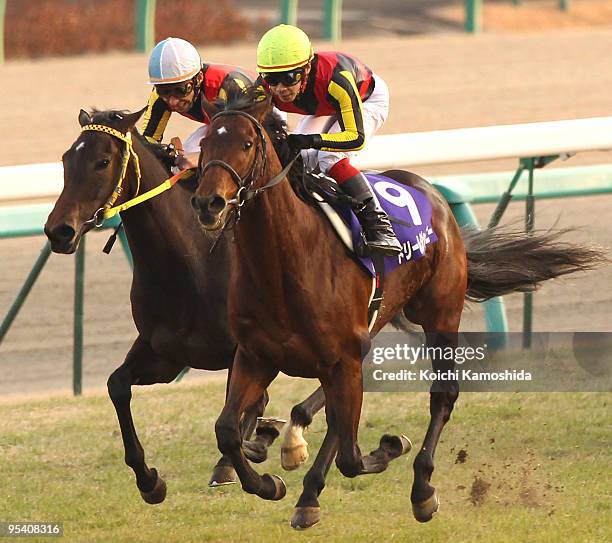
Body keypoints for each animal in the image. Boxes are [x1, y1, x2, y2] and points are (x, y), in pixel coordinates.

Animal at [43, 109, 286, 506]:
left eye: (103, 161)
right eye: (66, 159)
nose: (58, 231)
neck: (193, 261)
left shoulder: (246, 351)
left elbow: (237, 418)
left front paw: (249, 468)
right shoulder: (166, 353)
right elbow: (116, 385)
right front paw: (149, 481)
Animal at [191, 90, 604, 532]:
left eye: (247, 144)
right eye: (205, 144)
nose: (208, 203)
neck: (285, 263)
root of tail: (431, 193)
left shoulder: (342, 357)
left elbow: (352, 456)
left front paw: (388, 447)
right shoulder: (258, 355)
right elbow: (227, 429)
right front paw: (268, 484)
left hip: (440, 315)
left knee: (441, 397)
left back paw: (420, 490)